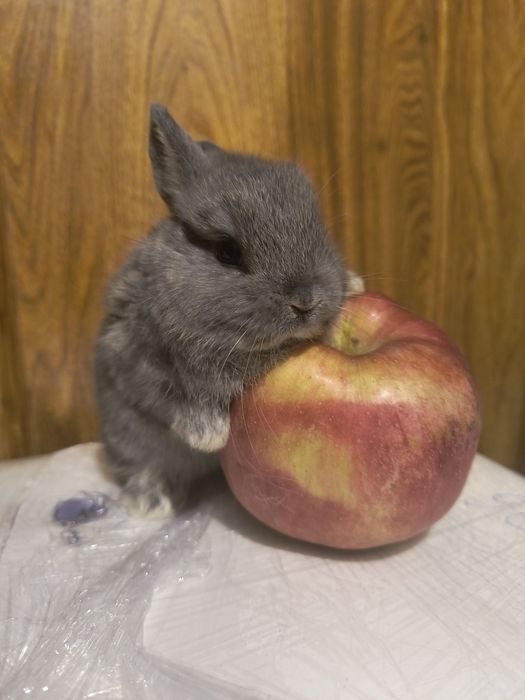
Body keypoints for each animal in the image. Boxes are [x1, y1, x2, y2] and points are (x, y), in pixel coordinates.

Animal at [94, 104, 364, 518]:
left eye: (318, 230)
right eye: (227, 252)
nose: (305, 301)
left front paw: (354, 284)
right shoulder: (136, 359)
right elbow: (171, 399)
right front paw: (209, 435)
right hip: (125, 436)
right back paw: (152, 503)